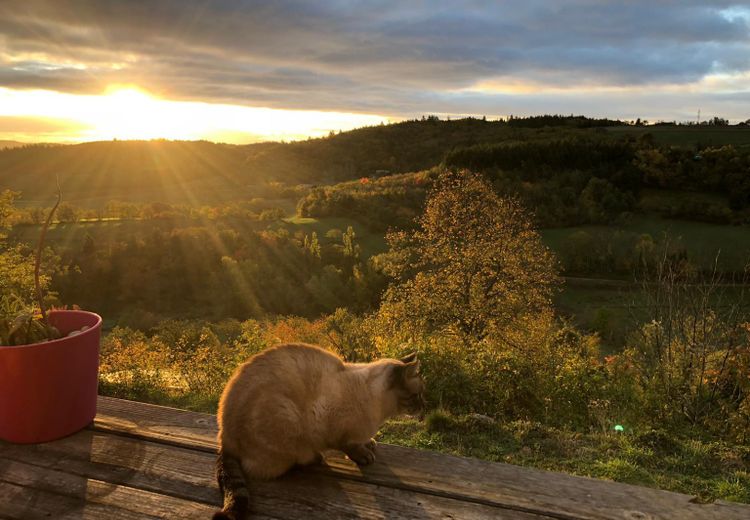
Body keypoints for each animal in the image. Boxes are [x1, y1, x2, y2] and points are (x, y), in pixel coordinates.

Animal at [213, 344, 424, 516]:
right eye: (417, 395)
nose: (424, 406)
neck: (380, 410)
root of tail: (224, 437)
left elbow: (362, 441)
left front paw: (369, 443)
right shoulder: (329, 425)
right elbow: (349, 446)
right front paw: (363, 455)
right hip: (288, 417)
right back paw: (314, 458)